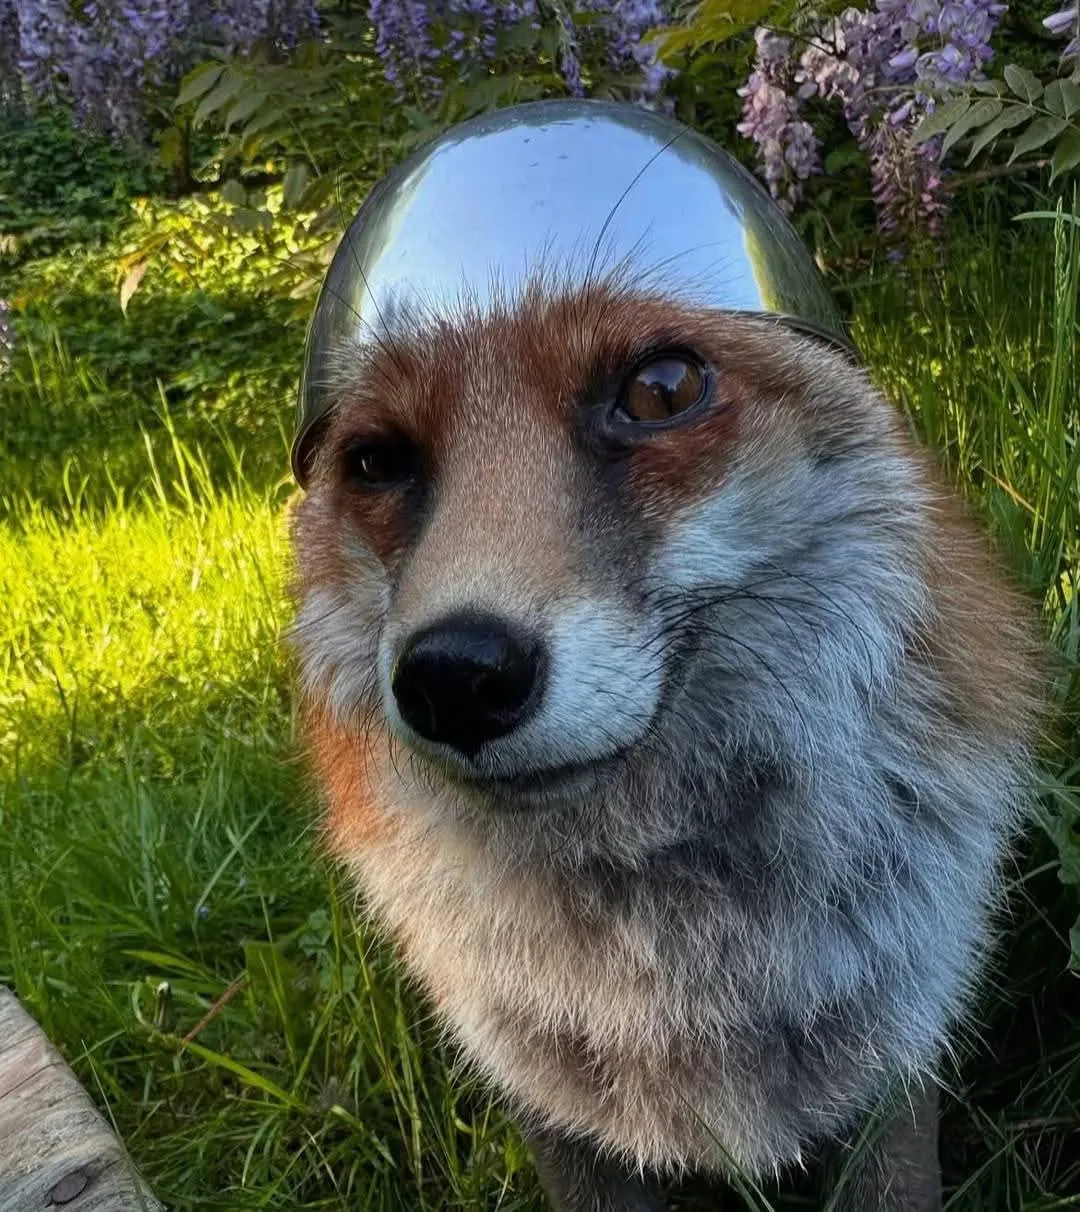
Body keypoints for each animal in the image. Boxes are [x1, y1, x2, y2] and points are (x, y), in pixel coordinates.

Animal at [288, 100, 1045, 1211]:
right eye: (377, 460)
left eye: (658, 390)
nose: (455, 678)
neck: (679, 963)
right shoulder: (547, 1100)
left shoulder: (900, 1040)